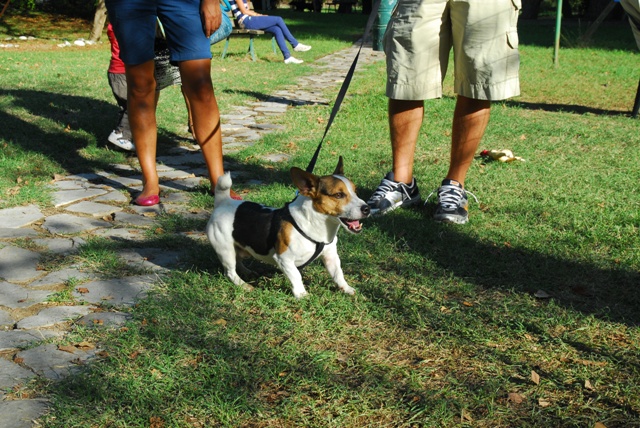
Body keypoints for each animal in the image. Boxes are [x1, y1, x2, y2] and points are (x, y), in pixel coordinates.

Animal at [208, 157, 370, 298]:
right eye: (338, 195)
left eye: (356, 191)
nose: (367, 208)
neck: (315, 226)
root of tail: (224, 202)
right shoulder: (283, 259)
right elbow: (296, 275)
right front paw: (301, 294)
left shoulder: (331, 256)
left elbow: (338, 273)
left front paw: (346, 288)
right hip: (225, 250)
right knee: (230, 271)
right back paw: (243, 285)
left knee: (238, 261)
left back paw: (246, 272)